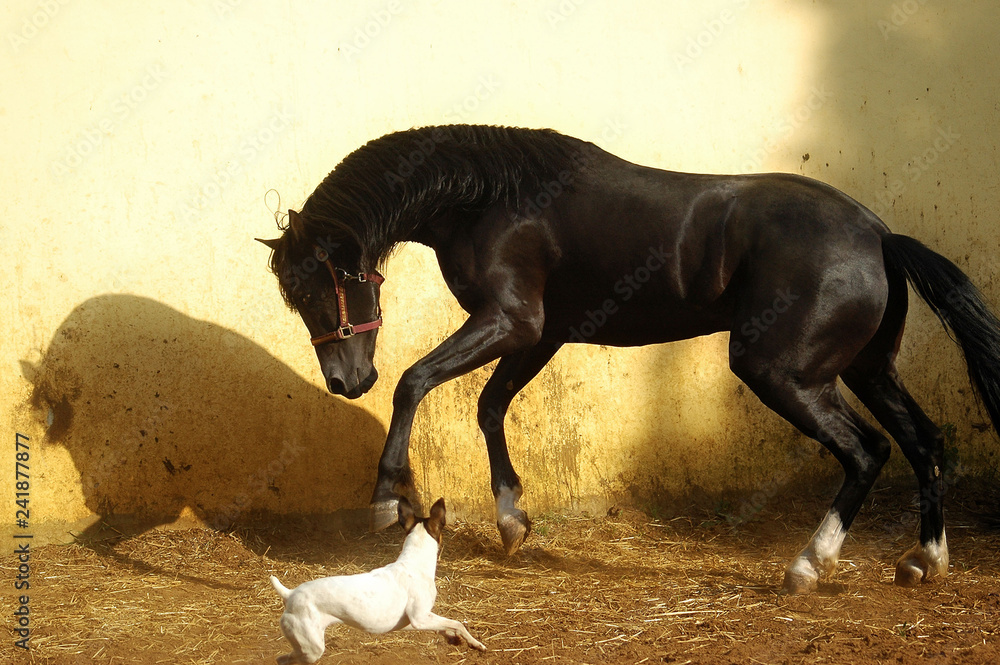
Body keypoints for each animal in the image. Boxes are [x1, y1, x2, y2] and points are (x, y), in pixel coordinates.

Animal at [258, 124, 1000, 594]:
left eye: (315, 290)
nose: (347, 380)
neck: (489, 198)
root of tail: (878, 234)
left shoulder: (512, 321)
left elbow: (415, 381)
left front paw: (388, 498)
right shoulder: (541, 333)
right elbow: (490, 407)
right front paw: (512, 521)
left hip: (782, 371)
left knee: (867, 451)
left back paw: (809, 566)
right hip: (864, 369)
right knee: (925, 442)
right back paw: (923, 561)